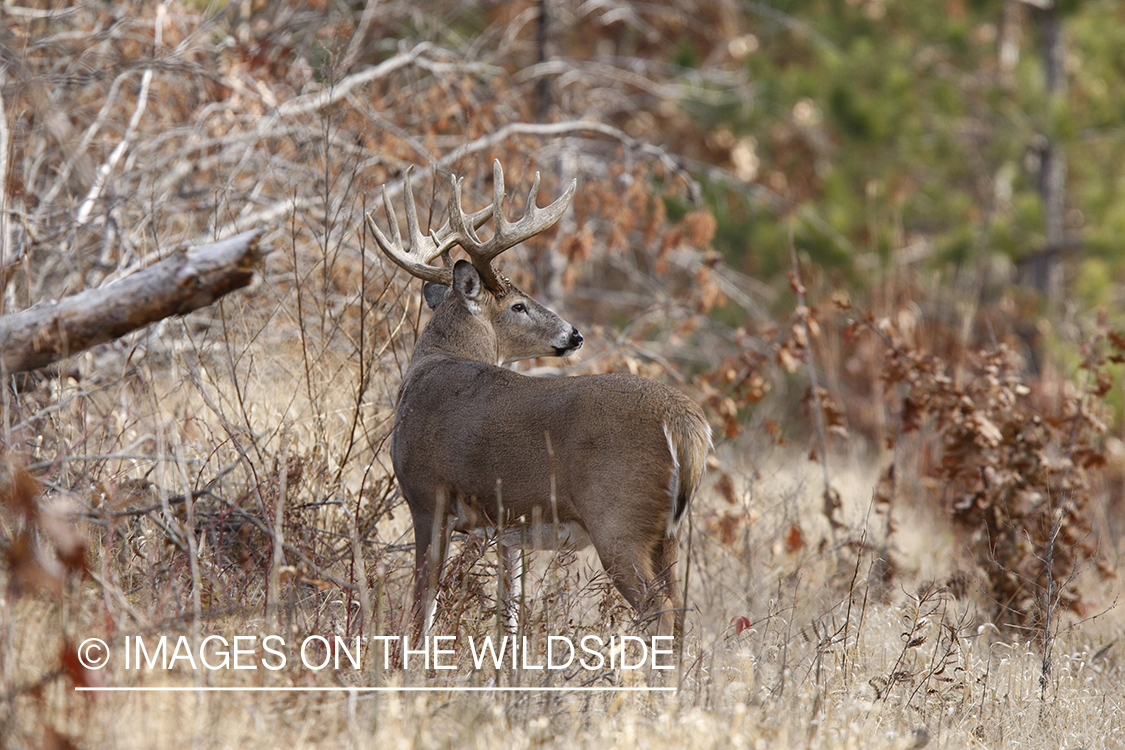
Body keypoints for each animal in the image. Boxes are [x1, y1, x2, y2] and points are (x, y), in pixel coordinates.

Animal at [369, 161, 711, 643]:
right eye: (518, 305)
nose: (575, 335)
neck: (432, 365)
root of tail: (688, 424)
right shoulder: (505, 527)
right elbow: (508, 611)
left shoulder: (427, 495)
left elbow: (423, 605)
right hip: (668, 535)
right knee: (679, 611)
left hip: (619, 520)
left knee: (658, 610)